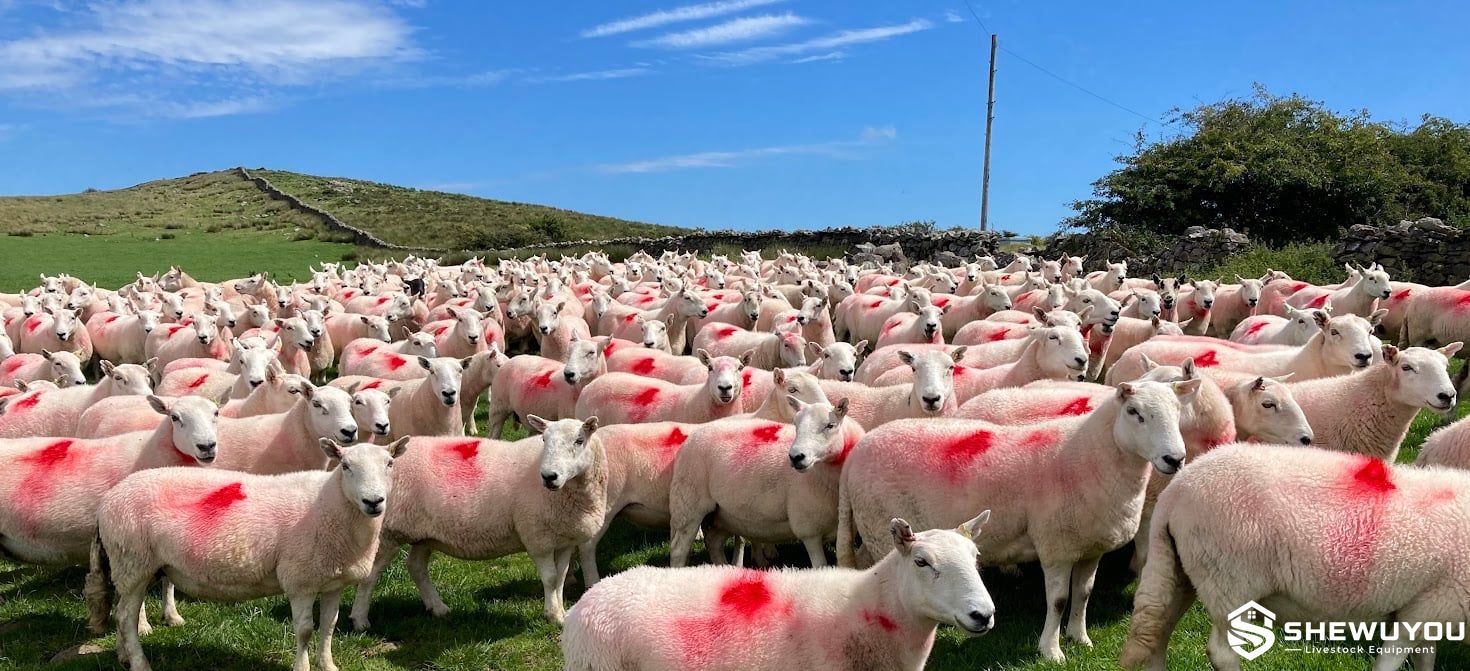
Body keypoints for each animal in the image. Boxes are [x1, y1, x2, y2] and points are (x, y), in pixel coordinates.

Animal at [89, 437, 408, 671]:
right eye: (345, 465)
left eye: (390, 463)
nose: (373, 501)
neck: (331, 504)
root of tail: (107, 501)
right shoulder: (300, 579)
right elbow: (305, 630)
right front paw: (302, 667)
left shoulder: (331, 580)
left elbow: (329, 626)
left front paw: (328, 665)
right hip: (133, 561)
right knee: (126, 617)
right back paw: (140, 663)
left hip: (136, 565)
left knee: (122, 613)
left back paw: (124, 656)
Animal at [347, 417, 606, 630]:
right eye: (544, 439)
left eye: (579, 440)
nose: (549, 477)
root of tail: (389, 454)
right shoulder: (537, 537)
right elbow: (551, 579)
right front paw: (552, 616)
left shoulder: (565, 538)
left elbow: (561, 578)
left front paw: (562, 613)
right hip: (387, 532)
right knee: (370, 575)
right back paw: (359, 620)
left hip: (424, 534)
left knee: (416, 567)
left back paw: (438, 608)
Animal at [668, 398, 864, 569]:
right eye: (796, 425)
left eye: (830, 425)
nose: (796, 457)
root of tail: (694, 435)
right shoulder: (809, 529)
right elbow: (820, 566)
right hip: (689, 504)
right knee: (679, 550)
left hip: (721, 513)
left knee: (713, 542)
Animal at [837, 379, 1197, 662]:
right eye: (1135, 412)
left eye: (1178, 411)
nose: (1175, 459)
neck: (1092, 456)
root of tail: (855, 455)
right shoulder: (1055, 544)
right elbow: (1058, 600)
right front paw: (1051, 650)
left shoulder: (1089, 544)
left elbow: (1084, 594)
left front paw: (1080, 637)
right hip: (879, 527)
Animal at [1122, 444, 1470, 671]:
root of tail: (1174, 493)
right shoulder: (1427, 606)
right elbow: (1390, 662)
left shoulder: (1430, 608)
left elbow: (1425, 658)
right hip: (1228, 580)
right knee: (1221, 652)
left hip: (1181, 570)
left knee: (1158, 634)